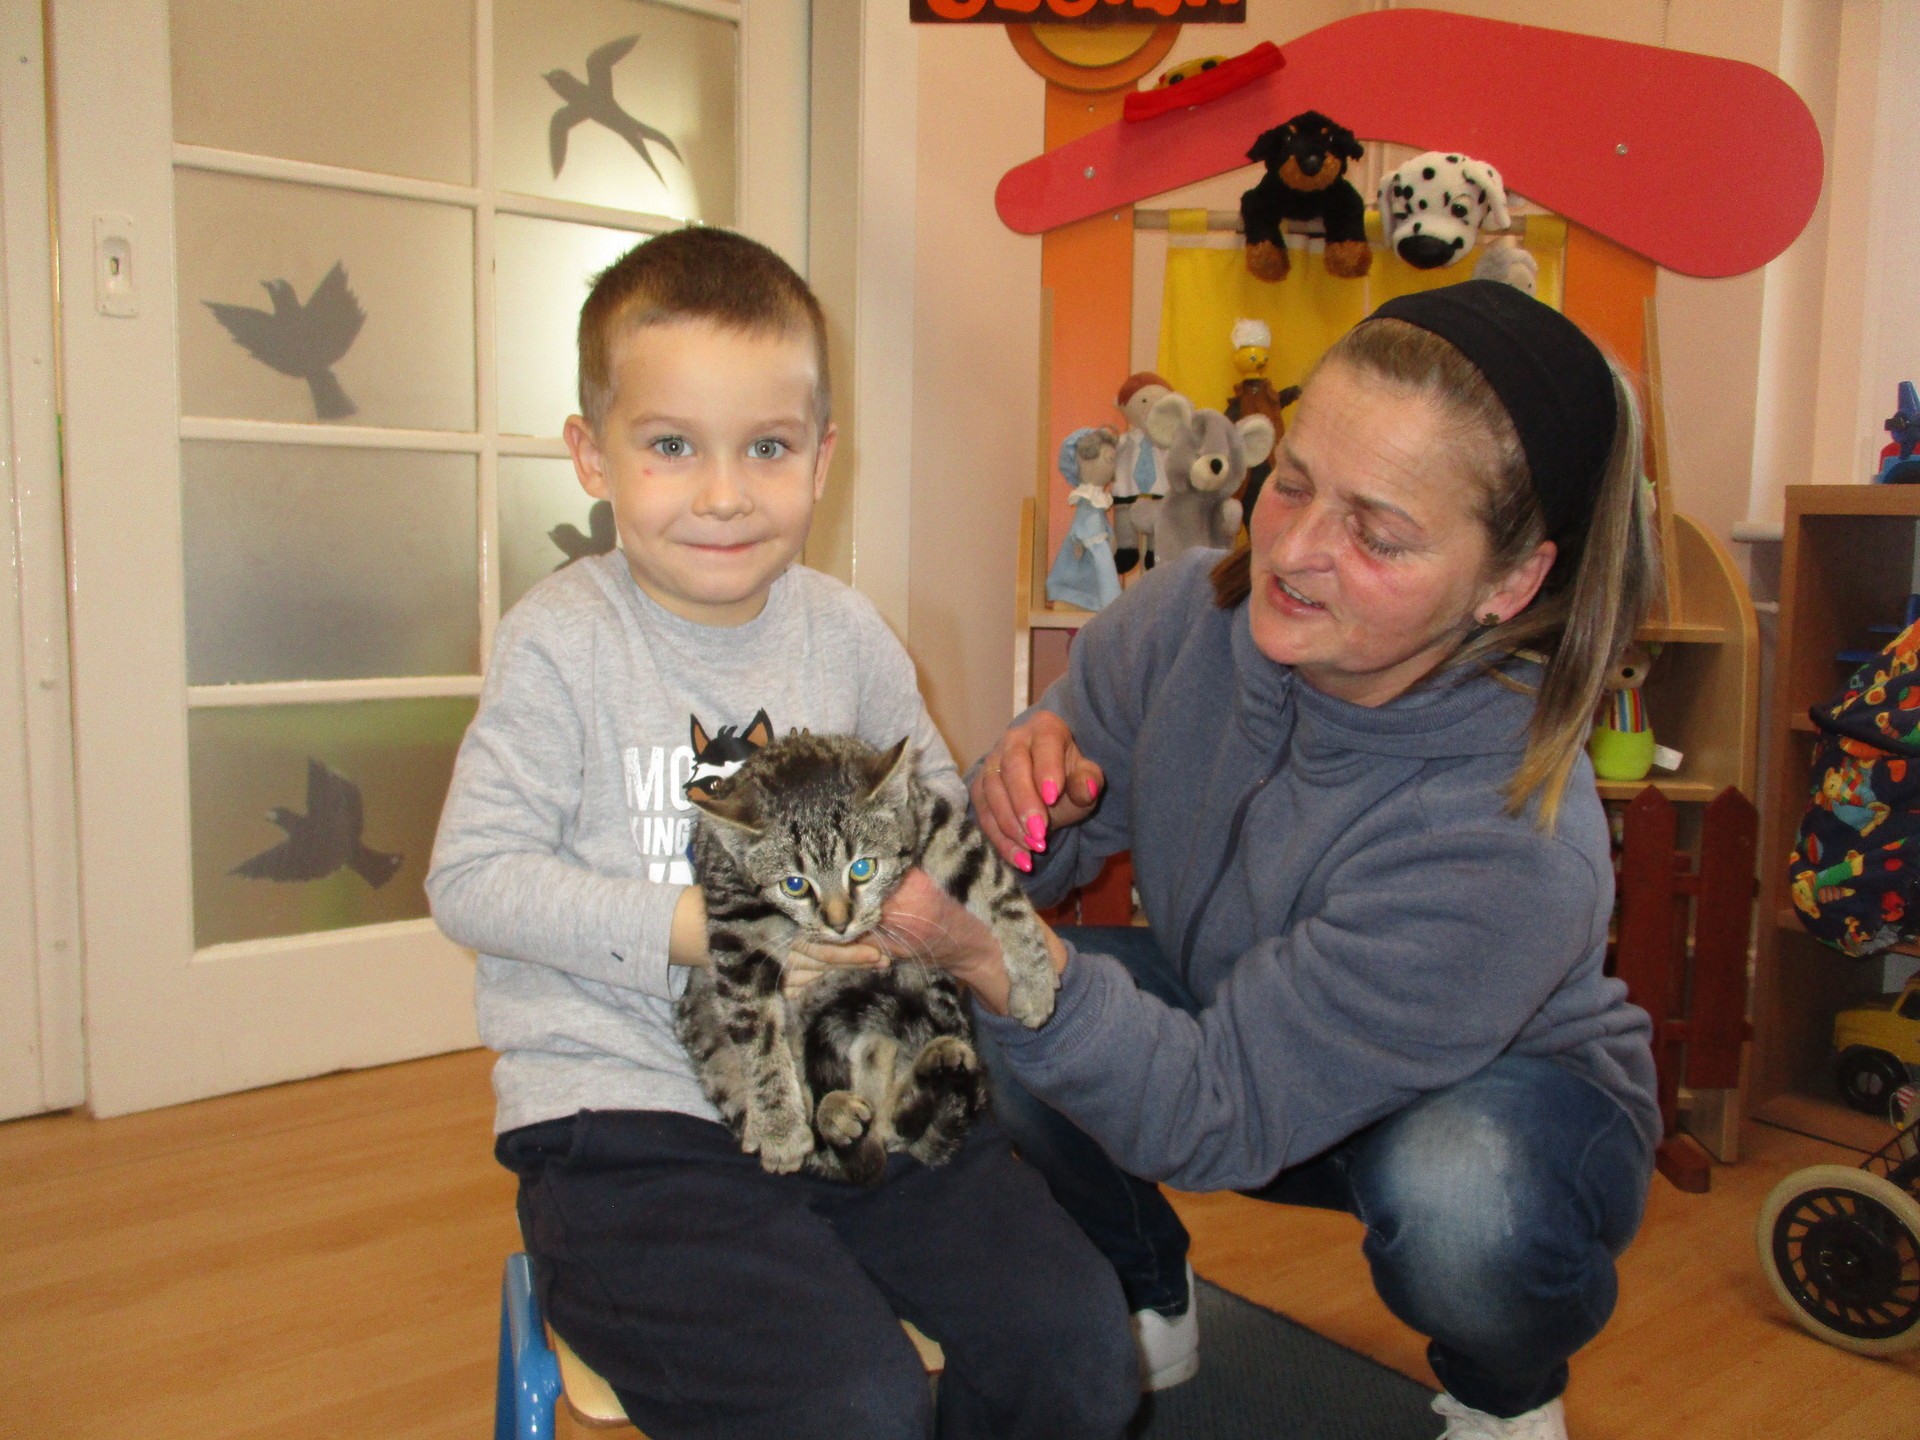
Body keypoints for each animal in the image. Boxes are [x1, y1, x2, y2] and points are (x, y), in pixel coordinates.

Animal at [677, 729, 1058, 1184]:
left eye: (862, 868)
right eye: (794, 885)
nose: (839, 923)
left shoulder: (930, 820)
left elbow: (992, 882)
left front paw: (1034, 976)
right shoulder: (734, 920)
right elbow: (757, 1032)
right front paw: (779, 1126)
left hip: (926, 986)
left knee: (899, 1123)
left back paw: (927, 1073)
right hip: (703, 1026)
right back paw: (831, 1116)